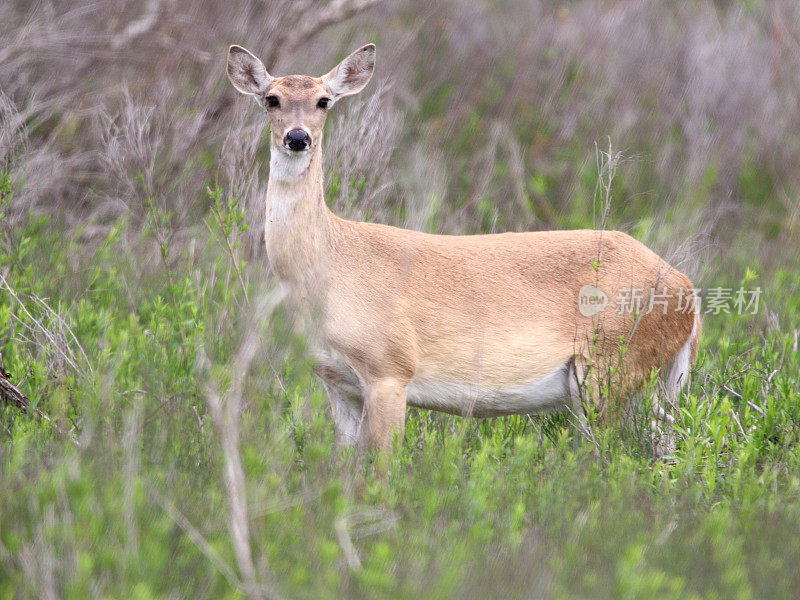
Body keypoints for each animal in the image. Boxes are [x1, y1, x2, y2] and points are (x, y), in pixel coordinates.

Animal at [227, 42, 700, 454]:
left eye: (324, 100)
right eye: (271, 99)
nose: (297, 137)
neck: (332, 265)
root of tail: (686, 289)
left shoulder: (391, 370)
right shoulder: (338, 384)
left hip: (611, 369)